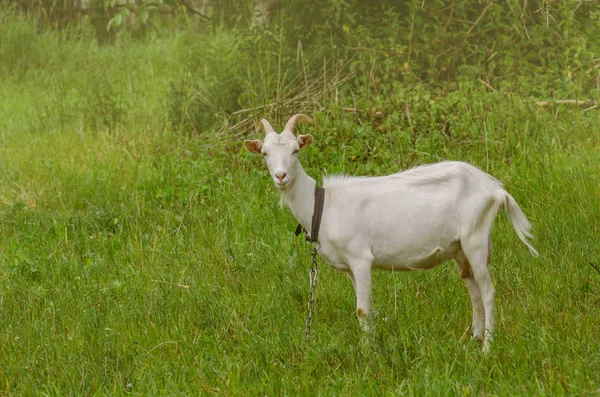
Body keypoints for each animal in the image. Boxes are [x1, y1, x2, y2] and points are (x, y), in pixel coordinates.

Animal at [244, 113, 540, 352]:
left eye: (296, 150)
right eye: (265, 153)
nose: (281, 176)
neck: (323, 206)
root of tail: (494, 189)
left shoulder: (361, 258)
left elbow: (362, 309)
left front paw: (369, 354)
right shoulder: (350, 268)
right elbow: (366, 308)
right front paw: (372, 344)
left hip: (475, 238)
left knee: (488, 291)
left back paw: (487, 347)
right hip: (459, 248)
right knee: (474, 291)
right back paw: (473, 339)